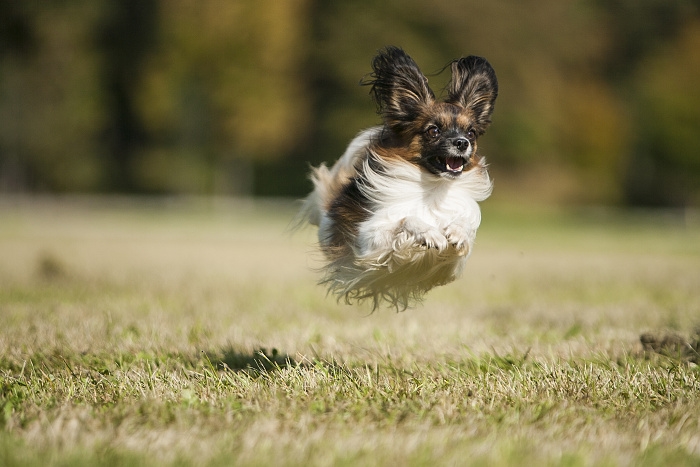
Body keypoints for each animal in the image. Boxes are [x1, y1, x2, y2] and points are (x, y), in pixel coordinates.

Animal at [296, 46, 498, 310]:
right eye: (433, 130)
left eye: (471, 133)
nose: (462, 143)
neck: (432, 189)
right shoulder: (366, 244)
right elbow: (405, 219)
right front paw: (428, 232)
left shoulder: (456, 262)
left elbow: (463, 231)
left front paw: (458, 231)